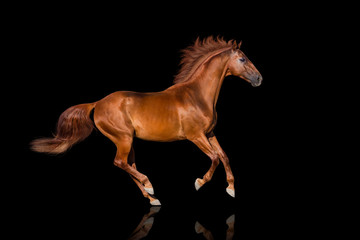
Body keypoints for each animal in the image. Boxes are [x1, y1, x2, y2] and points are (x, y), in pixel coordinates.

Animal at [30, 36, 262, 205]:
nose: (259, 78)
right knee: (120, 162)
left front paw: (231, 189)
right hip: (123, 138)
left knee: (128, 164)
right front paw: (199, 183)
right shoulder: (195, 136)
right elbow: (214, 158)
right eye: (242, 59)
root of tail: (97, 104)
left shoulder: (210, 133)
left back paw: (152, 199)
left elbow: (224, 156)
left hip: (128, 141)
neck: (196, 95)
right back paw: (150, 186)